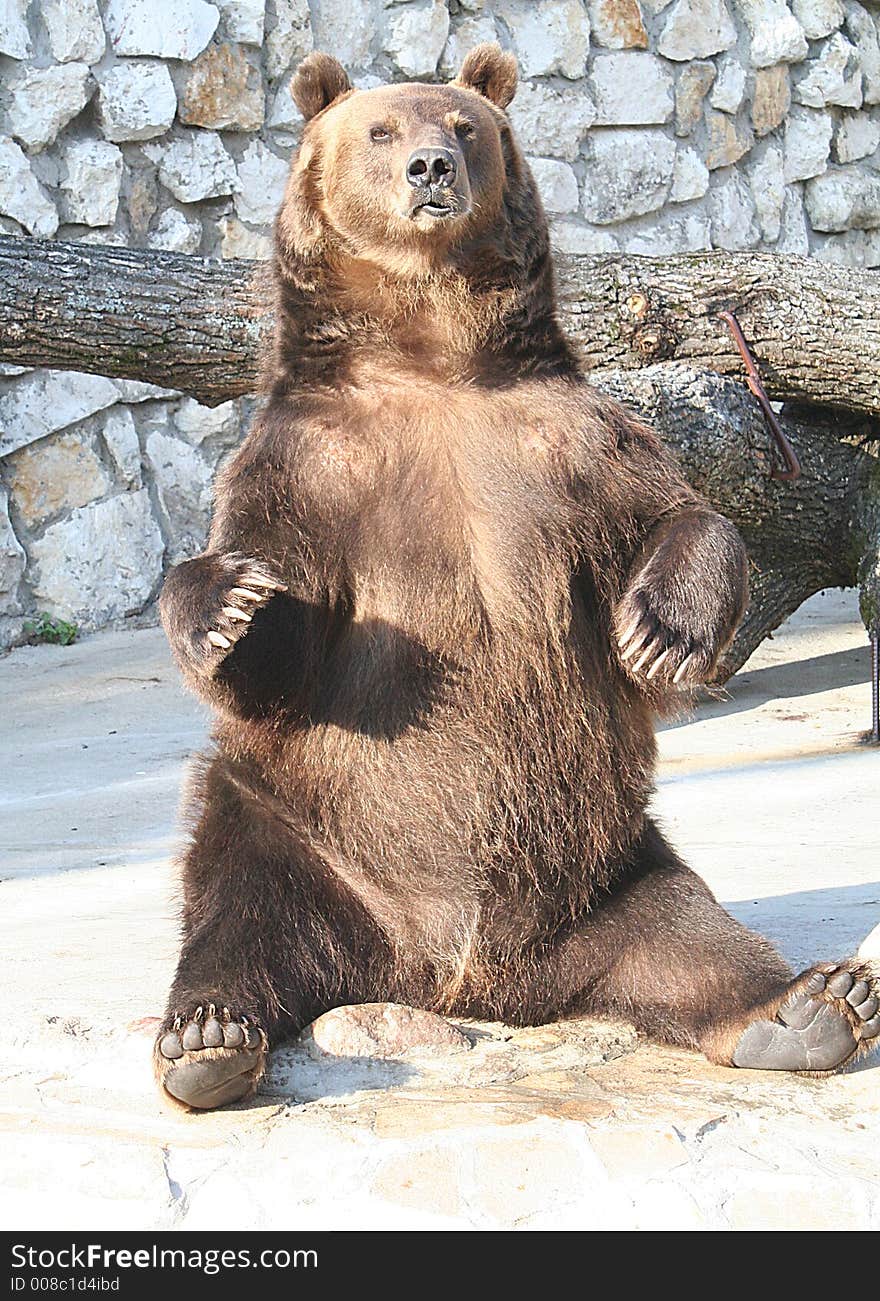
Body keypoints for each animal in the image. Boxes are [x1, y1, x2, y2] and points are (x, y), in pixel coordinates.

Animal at [152, 43, 879, 1108]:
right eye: (380, 129)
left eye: (464, 125)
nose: (431, 168)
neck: (429, 357)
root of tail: (455, 978)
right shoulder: (309, 470)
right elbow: (281, 639)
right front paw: (229, 605)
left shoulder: (567, 441)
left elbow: (681, 514)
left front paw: (658, 632)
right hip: (304, 833)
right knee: (237, 908)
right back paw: (207, 1036)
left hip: (609, 861)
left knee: (690, 933)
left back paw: (807, 1008)